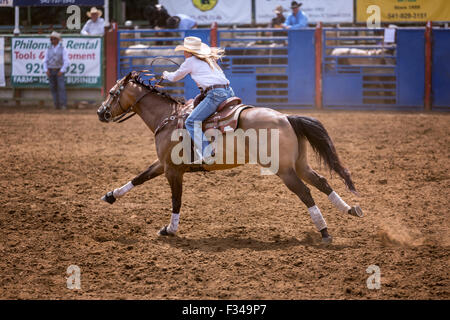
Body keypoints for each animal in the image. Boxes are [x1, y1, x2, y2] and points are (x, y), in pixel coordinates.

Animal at [97, 71, 362, 244]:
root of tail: (286, 117)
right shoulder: (164, 164)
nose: (101, 112)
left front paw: (169, 230)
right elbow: (139, 178)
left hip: (284, 170)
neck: (168, 117)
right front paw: (110, 195)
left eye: (111, 92)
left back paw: (325, 232)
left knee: (305, 193)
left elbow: (176, 200)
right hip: (299, 164)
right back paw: (350, 210)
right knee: (321, 182)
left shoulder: (173, 170)